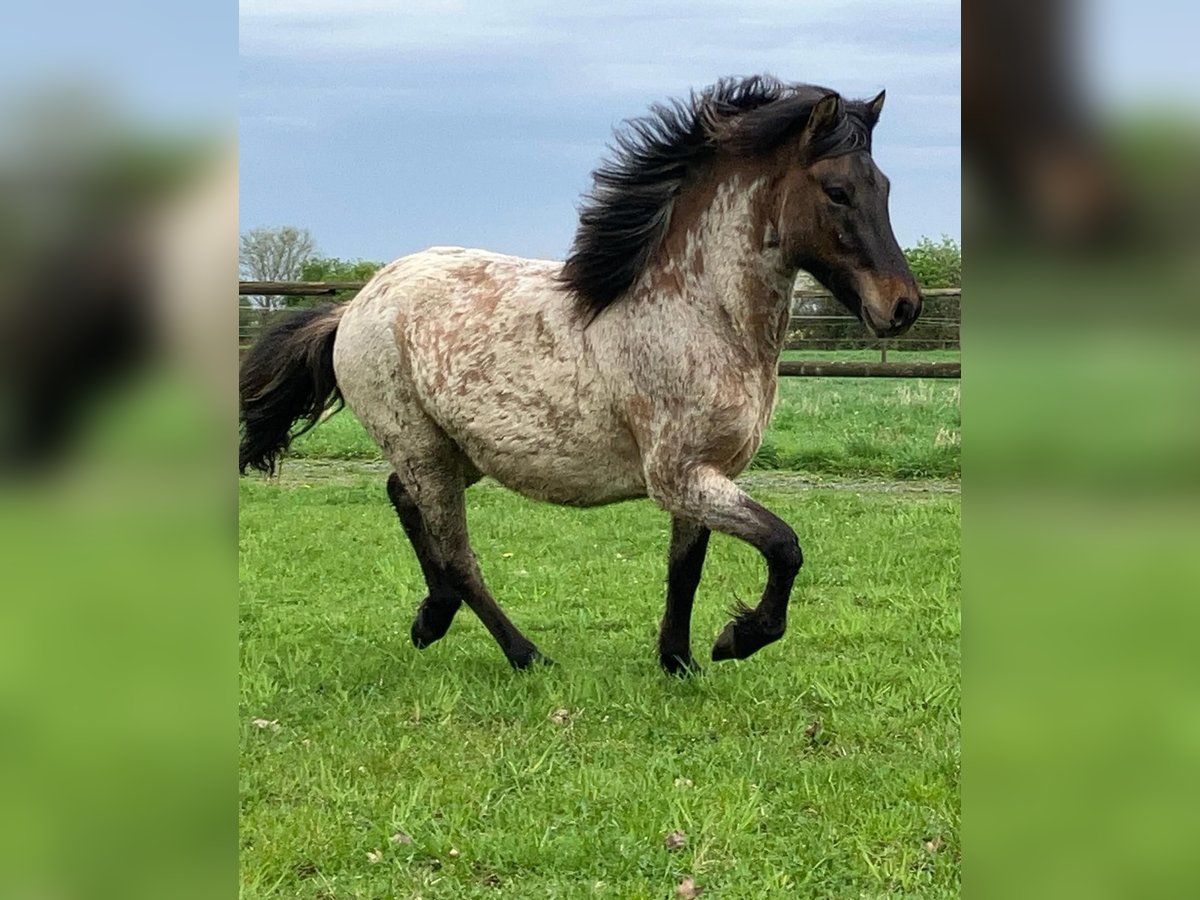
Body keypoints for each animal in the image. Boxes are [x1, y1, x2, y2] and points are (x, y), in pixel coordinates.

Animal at [238, 74, 921, 672]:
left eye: (886, 186)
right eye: (836, 190)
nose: (903, 306)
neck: (697, 312)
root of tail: (355, 306)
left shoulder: (706, 477)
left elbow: (686, 569)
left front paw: (679, 663)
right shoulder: (680, 477)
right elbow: (784, 546)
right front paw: (738, 638)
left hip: (459, 452)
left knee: (403, 501)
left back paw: (432, 619)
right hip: (421, 446)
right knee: (458, 555)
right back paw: (525, 655)